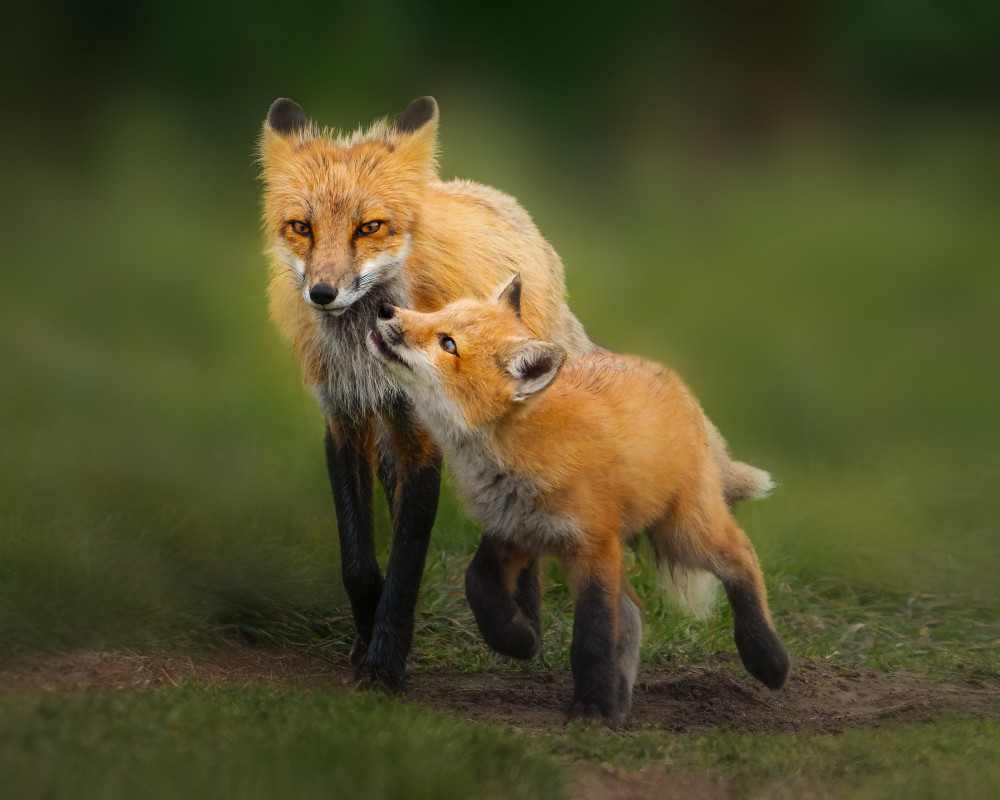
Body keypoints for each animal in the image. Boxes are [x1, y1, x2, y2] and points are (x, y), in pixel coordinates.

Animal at [366, 275, 790, 725]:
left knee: (741, 555)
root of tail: (672, 379)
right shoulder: (515, 530)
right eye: (439, 313)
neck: (520, 452)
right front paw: (517, 639)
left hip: (682, 534)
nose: (385, 309)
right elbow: (476, 581)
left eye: (448, 344)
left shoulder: (592, 547)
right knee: (635, 611)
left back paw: (767, 658)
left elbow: (592, 635)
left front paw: (589, 709)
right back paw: (620, 706)